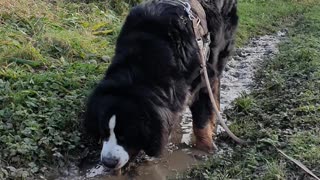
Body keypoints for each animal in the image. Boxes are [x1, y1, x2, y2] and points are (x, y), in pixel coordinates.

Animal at [82, 0, 238, 170]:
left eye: (126, 134)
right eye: (103, 131)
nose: (108, 162)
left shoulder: (201, 77)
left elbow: (200, 122)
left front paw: (206, 149)